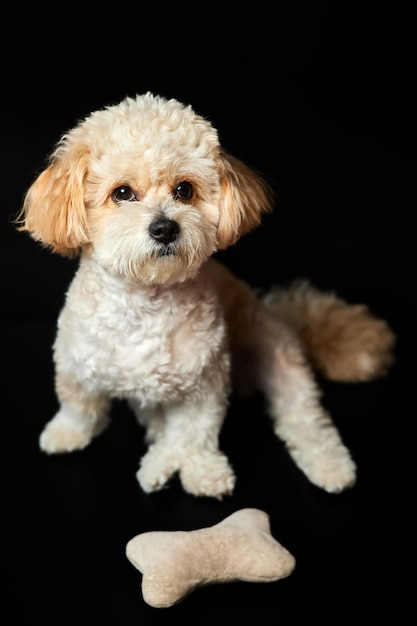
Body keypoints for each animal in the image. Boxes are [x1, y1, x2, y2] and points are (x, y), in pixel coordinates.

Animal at [13, 92, 396, 494]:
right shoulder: (74, 361)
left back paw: (330, 465)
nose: (164, 228)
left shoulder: (205, 381)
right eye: (122, 193)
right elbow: (79, 405)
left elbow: (194, 430)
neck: (146, 300)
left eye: (184, 190)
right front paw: (66, 434)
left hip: (283, 362)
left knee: (305, 417)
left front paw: (202, 470)